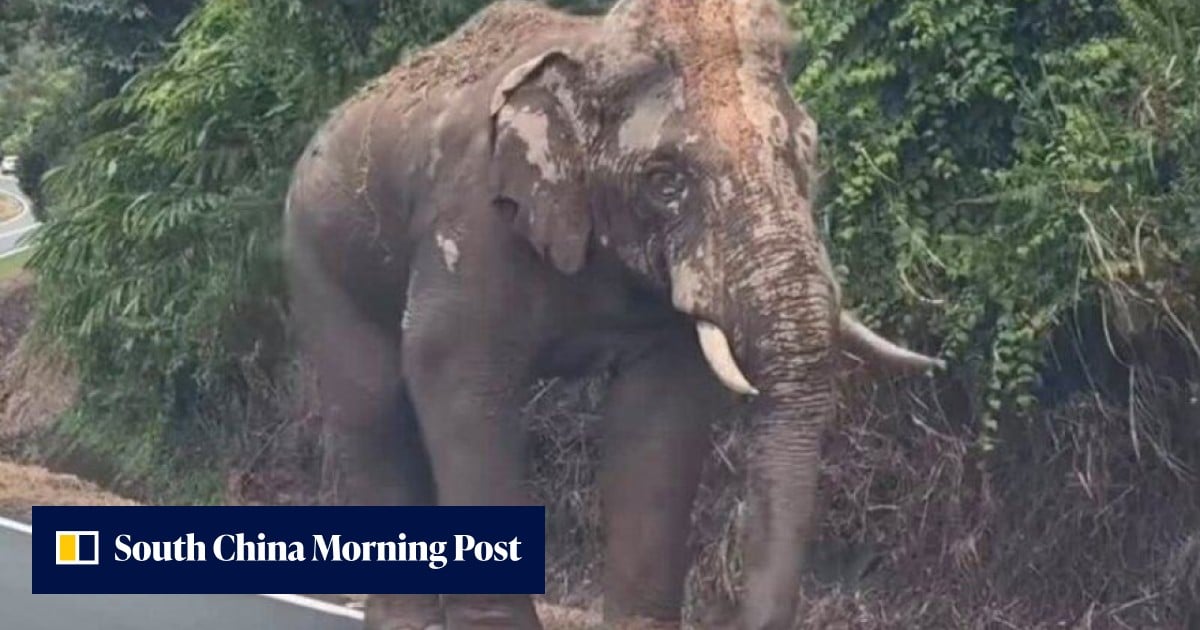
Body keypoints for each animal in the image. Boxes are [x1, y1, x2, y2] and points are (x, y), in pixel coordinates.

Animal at [284, 1, 942, 628]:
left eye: (809, 151)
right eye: (665, 181)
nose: (731, 606)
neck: (590, 54)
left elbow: (660, 410)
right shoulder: (469, 221)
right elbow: (456, 378)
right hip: (319, 259)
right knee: (374, 411)